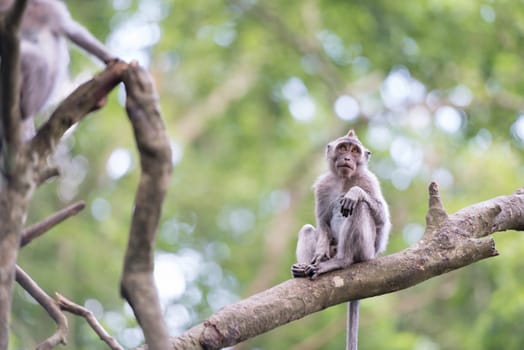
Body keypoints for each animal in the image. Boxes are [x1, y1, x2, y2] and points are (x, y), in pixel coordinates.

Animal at [0, 0, 114, 139]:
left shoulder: (51, 10)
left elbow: (73, 31)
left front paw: (110, 58)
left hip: (38, 96)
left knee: (38, 62)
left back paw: (24, 106)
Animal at [290, 131, 388, 350]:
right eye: (343, 148)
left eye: (355, 151)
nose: (348, 158)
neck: (344, 179)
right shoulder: (323, 186)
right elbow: (322, 223)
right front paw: (318, 255)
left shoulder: (368, 180)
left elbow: (382, 220)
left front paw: (355, 192)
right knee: (308, 229)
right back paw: (304, 268)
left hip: (366, 251)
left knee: (360, 207)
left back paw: (342, 261)